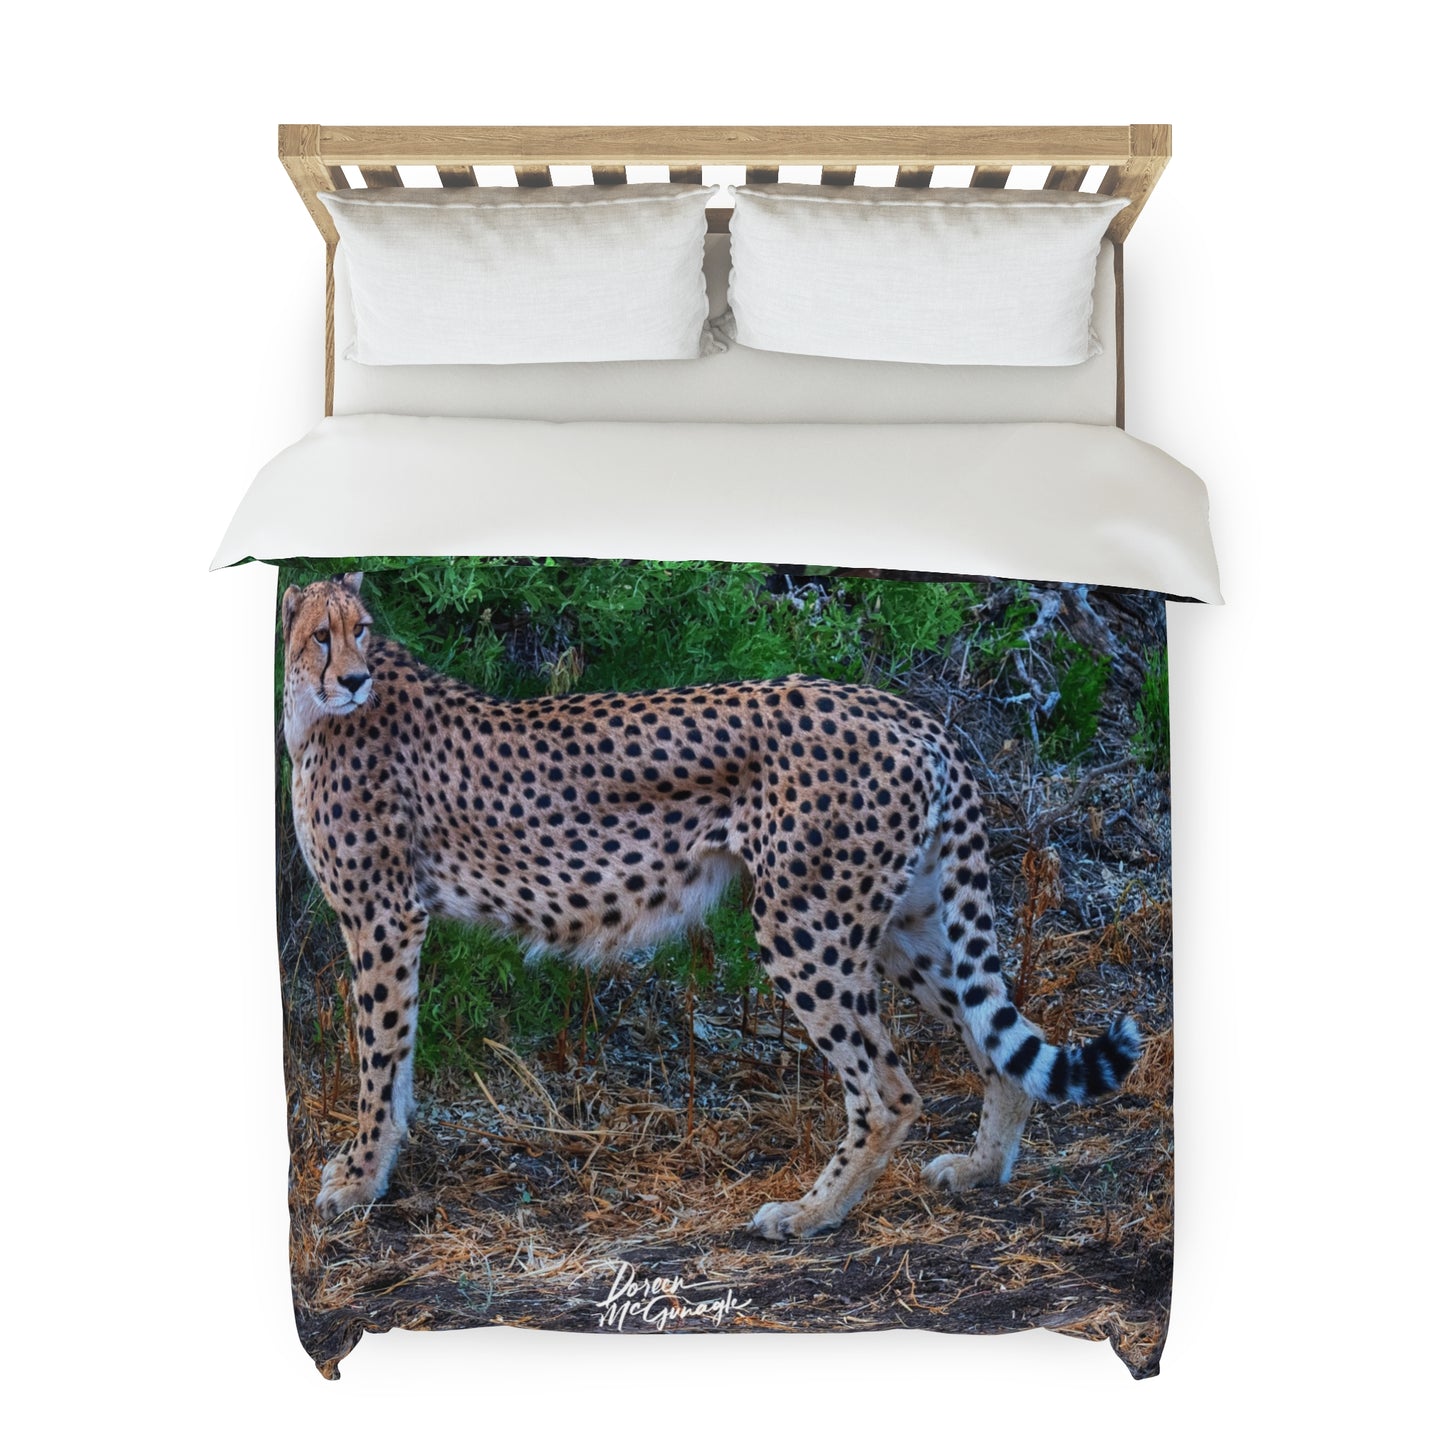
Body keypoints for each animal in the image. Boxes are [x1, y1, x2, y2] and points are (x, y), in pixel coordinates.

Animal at [282, 572, 1142, 1238]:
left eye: (358, 632)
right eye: (322, 636)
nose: (353, 678)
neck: (313, 711)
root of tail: (908, 711)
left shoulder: (383, 915)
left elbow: (378, 1053)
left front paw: (358, 1178)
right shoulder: (390, 918)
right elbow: (395, 1057)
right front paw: (373, 1171)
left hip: (803, 923)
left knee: (887, 1090)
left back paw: (809, 1213)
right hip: (906, 921)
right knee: (994, 1038)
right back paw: (980, 1167)